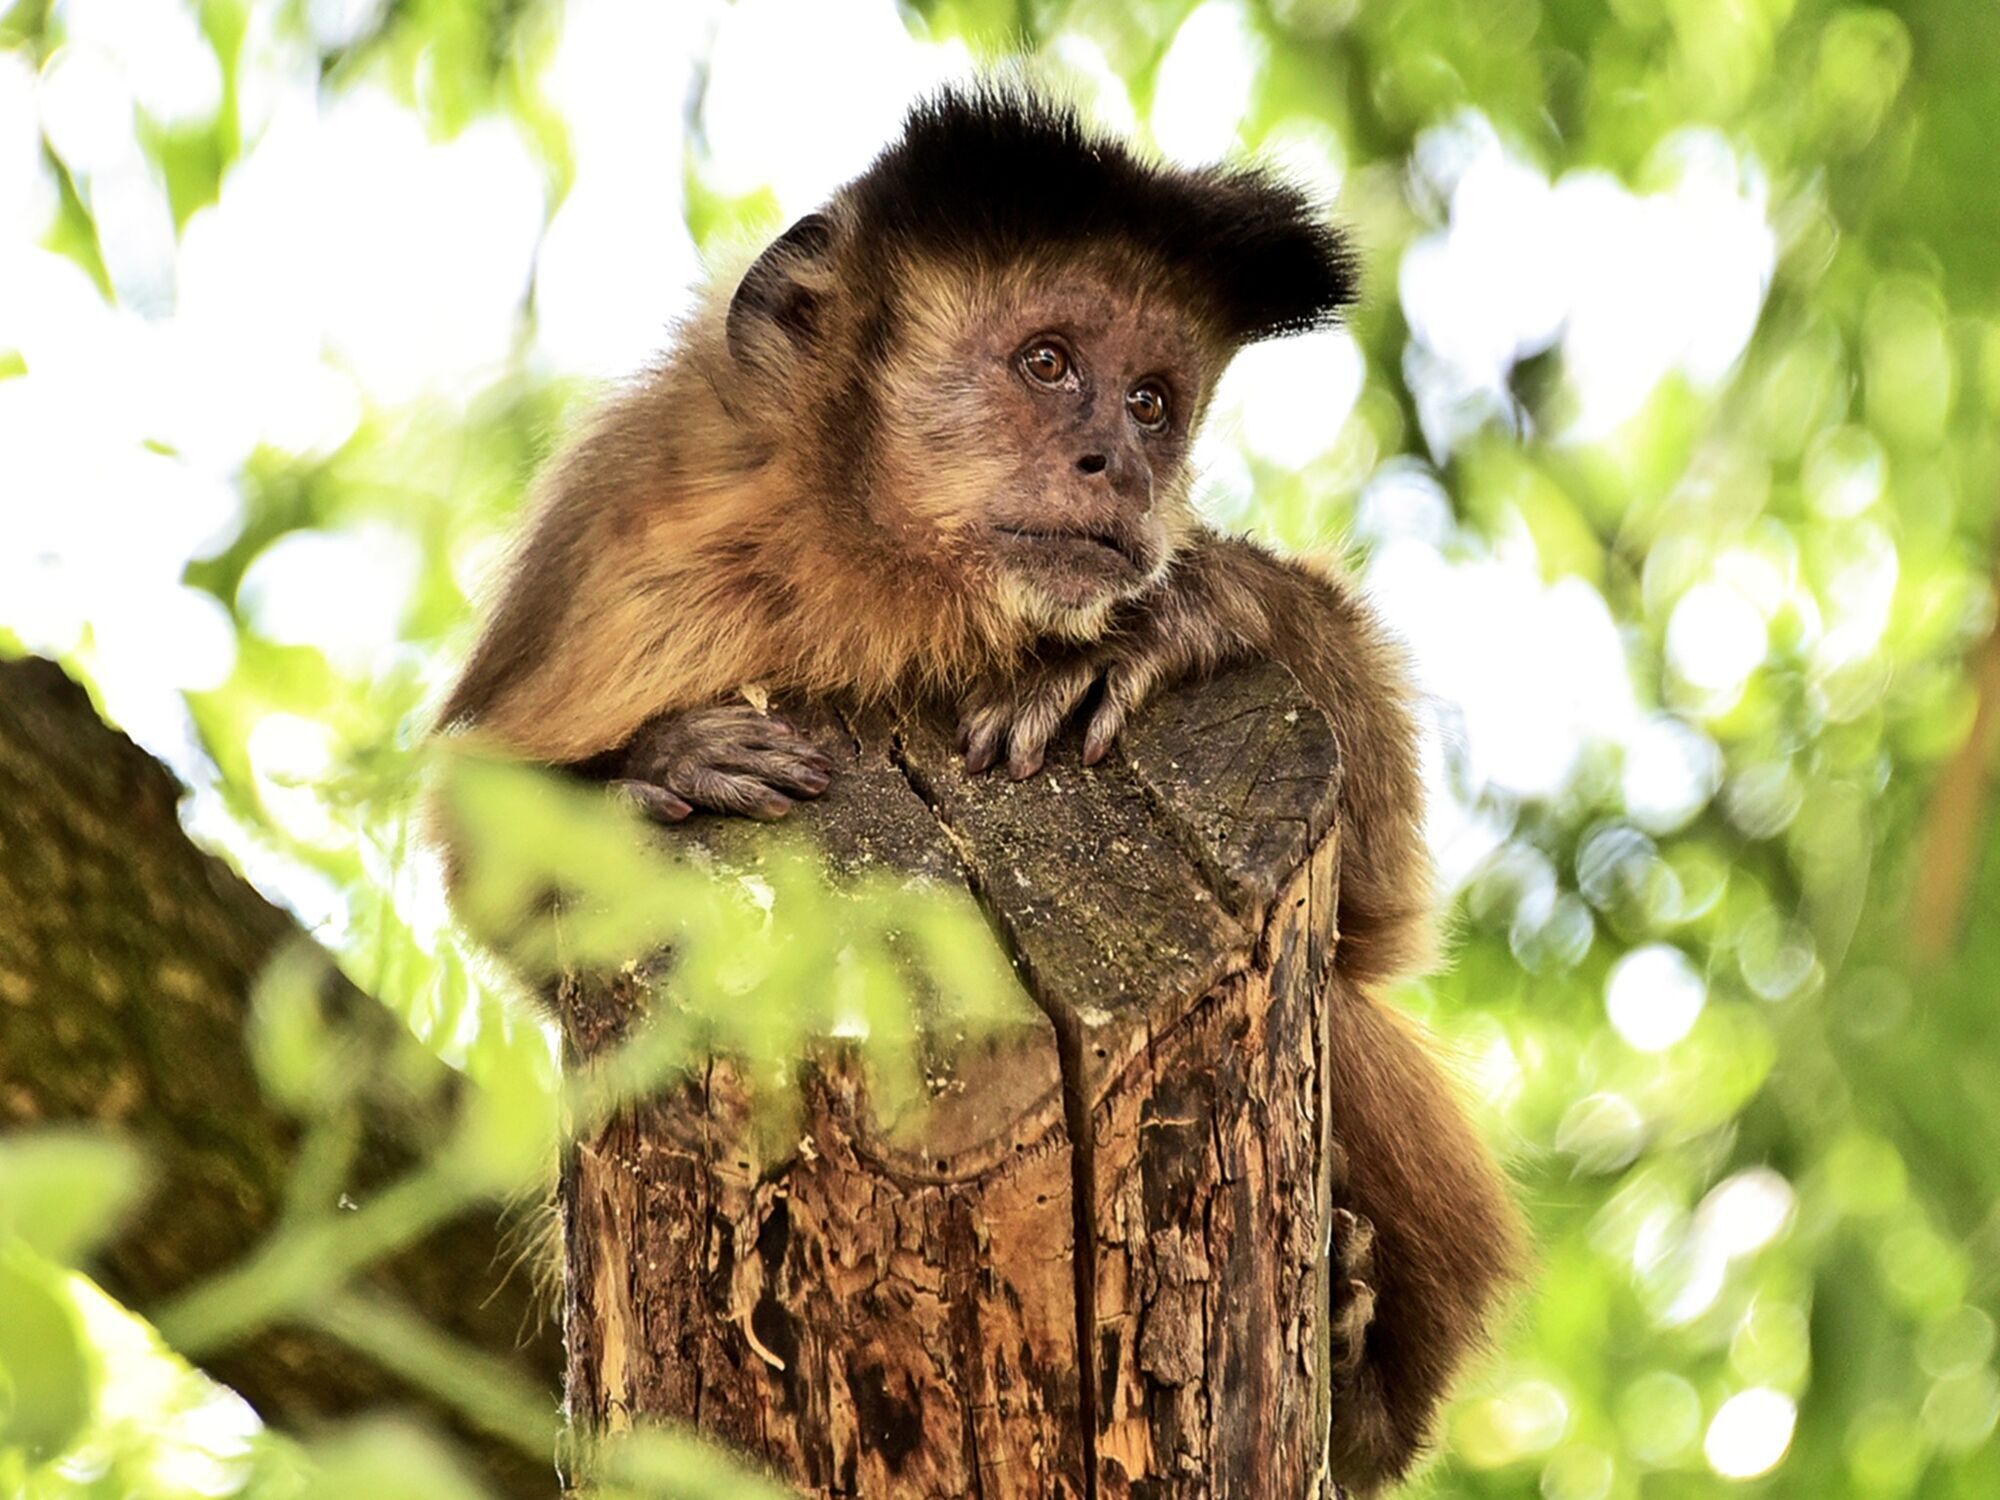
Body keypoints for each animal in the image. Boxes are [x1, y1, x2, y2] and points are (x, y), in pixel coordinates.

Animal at [438, 88, 1520, 1496]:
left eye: (1153, 400)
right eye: (1047, 364)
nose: (1117, 460)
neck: (884, 584)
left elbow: (1378, 924)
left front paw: (1184, 617)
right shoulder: (643, 550)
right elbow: (488, 864)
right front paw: (663, 768)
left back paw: (1359, 1375)